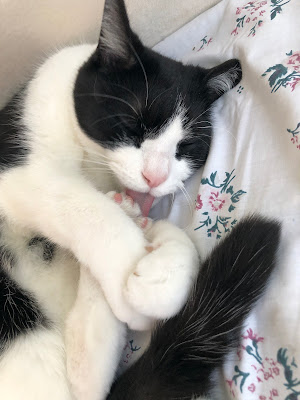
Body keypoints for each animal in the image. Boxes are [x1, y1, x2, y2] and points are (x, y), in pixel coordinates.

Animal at [0, 0, 262, 398]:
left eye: (186, 147)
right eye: (134, 124)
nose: (155, 177)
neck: (96, 166)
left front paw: (158, 279)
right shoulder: (21, 174)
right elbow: (84, 207)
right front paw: (127, 270)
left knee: (84, 375)